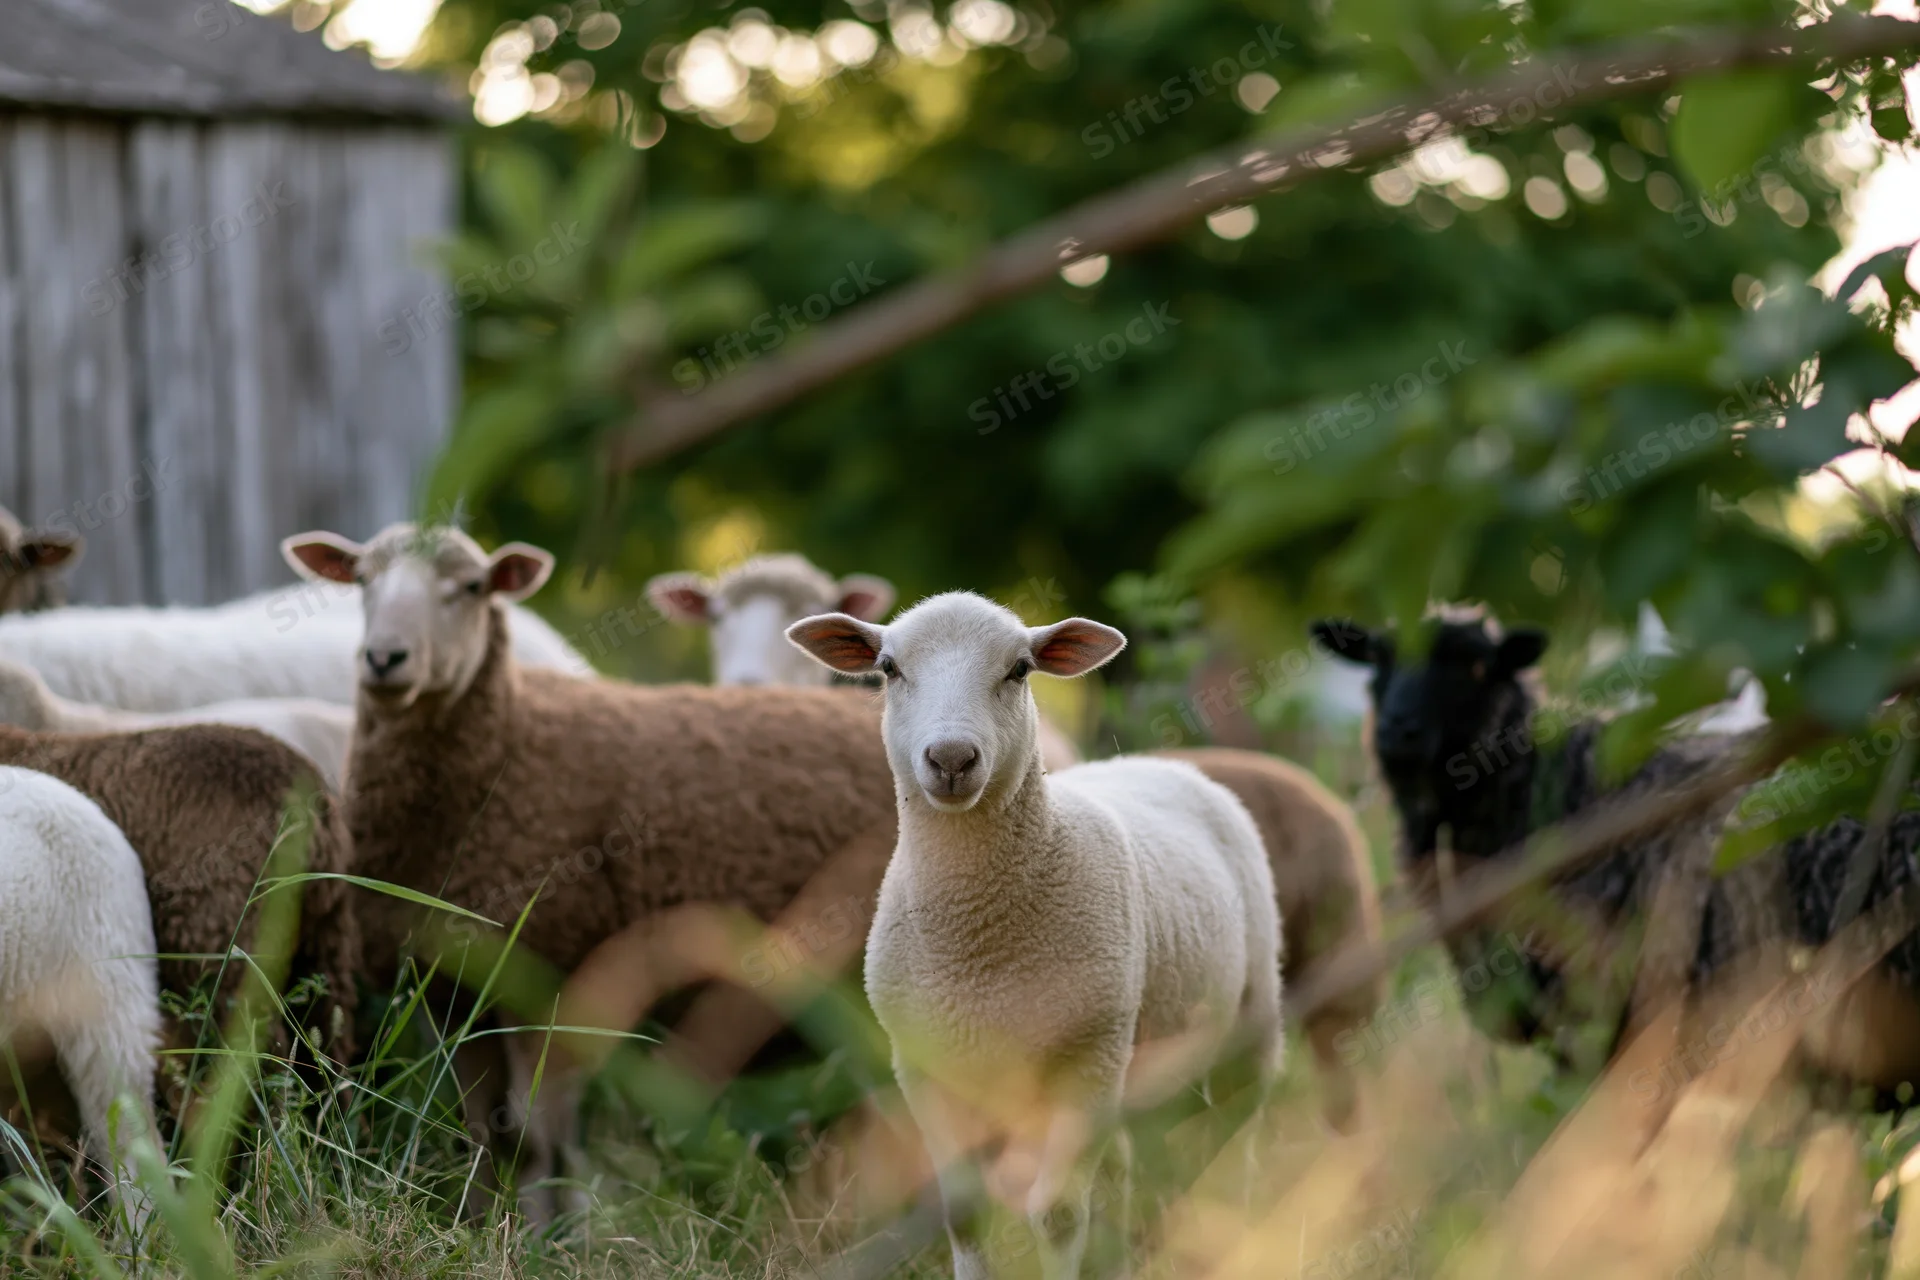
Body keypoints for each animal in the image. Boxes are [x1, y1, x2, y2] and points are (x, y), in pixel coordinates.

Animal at [279, 522, 902, 1226]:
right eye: (362, 581)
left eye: (471, 587)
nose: (385, 659)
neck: (509, 740)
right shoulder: (454, 989)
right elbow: (481, 1128)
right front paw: (477, 1224)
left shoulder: (560, 971)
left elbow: (535, 1133)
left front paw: (545, 1236)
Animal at [788, 592, 1282, 1280]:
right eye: (888, 668)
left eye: (1019, 670)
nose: (951, 759)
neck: (980, 941)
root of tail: (1159, 763)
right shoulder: (925, 1065)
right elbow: (964, 1213)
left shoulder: (1089, 1053)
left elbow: (1059, 1214)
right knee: (1123, 1168)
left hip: (1248, 1020)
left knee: (1240, 1146)